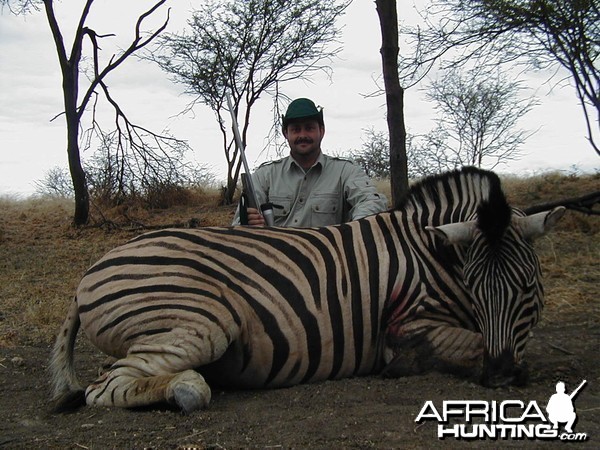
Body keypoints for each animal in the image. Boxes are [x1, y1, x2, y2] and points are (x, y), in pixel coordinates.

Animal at [50, 167, 564, 414]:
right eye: (476, 288)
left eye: (527, 287)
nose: (500, 378)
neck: (431, 253)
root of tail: (88, 275)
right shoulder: (406, 325)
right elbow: (470, 341)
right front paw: (406, 367)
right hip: (206, 322)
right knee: (106, 386)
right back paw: (186, 389)